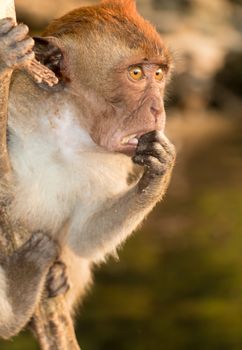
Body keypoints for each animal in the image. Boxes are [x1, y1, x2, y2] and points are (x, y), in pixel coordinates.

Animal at [0, 0, 175, 340]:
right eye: (136, 73)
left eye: (159, 73)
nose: (158, 110)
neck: (68, 127)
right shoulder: (19, 100)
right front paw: (4, 56)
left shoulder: (110, 163)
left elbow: (84, 236)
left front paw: (159, 170)